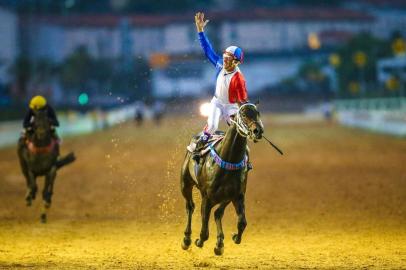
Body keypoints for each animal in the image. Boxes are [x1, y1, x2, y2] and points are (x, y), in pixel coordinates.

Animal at [180, 103, 264, 255]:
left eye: (258, 113)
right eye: (243, 114)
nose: (257, 131)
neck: (228, 160)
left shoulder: (237, 196)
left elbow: (242, 222)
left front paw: (235, 237)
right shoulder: (207, 197)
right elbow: (204, 229)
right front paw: (199, 241)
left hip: (225, 198)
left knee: (218, 213)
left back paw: (219, 243)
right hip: (185, 184)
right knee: (190, 206)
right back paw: (187, 239)